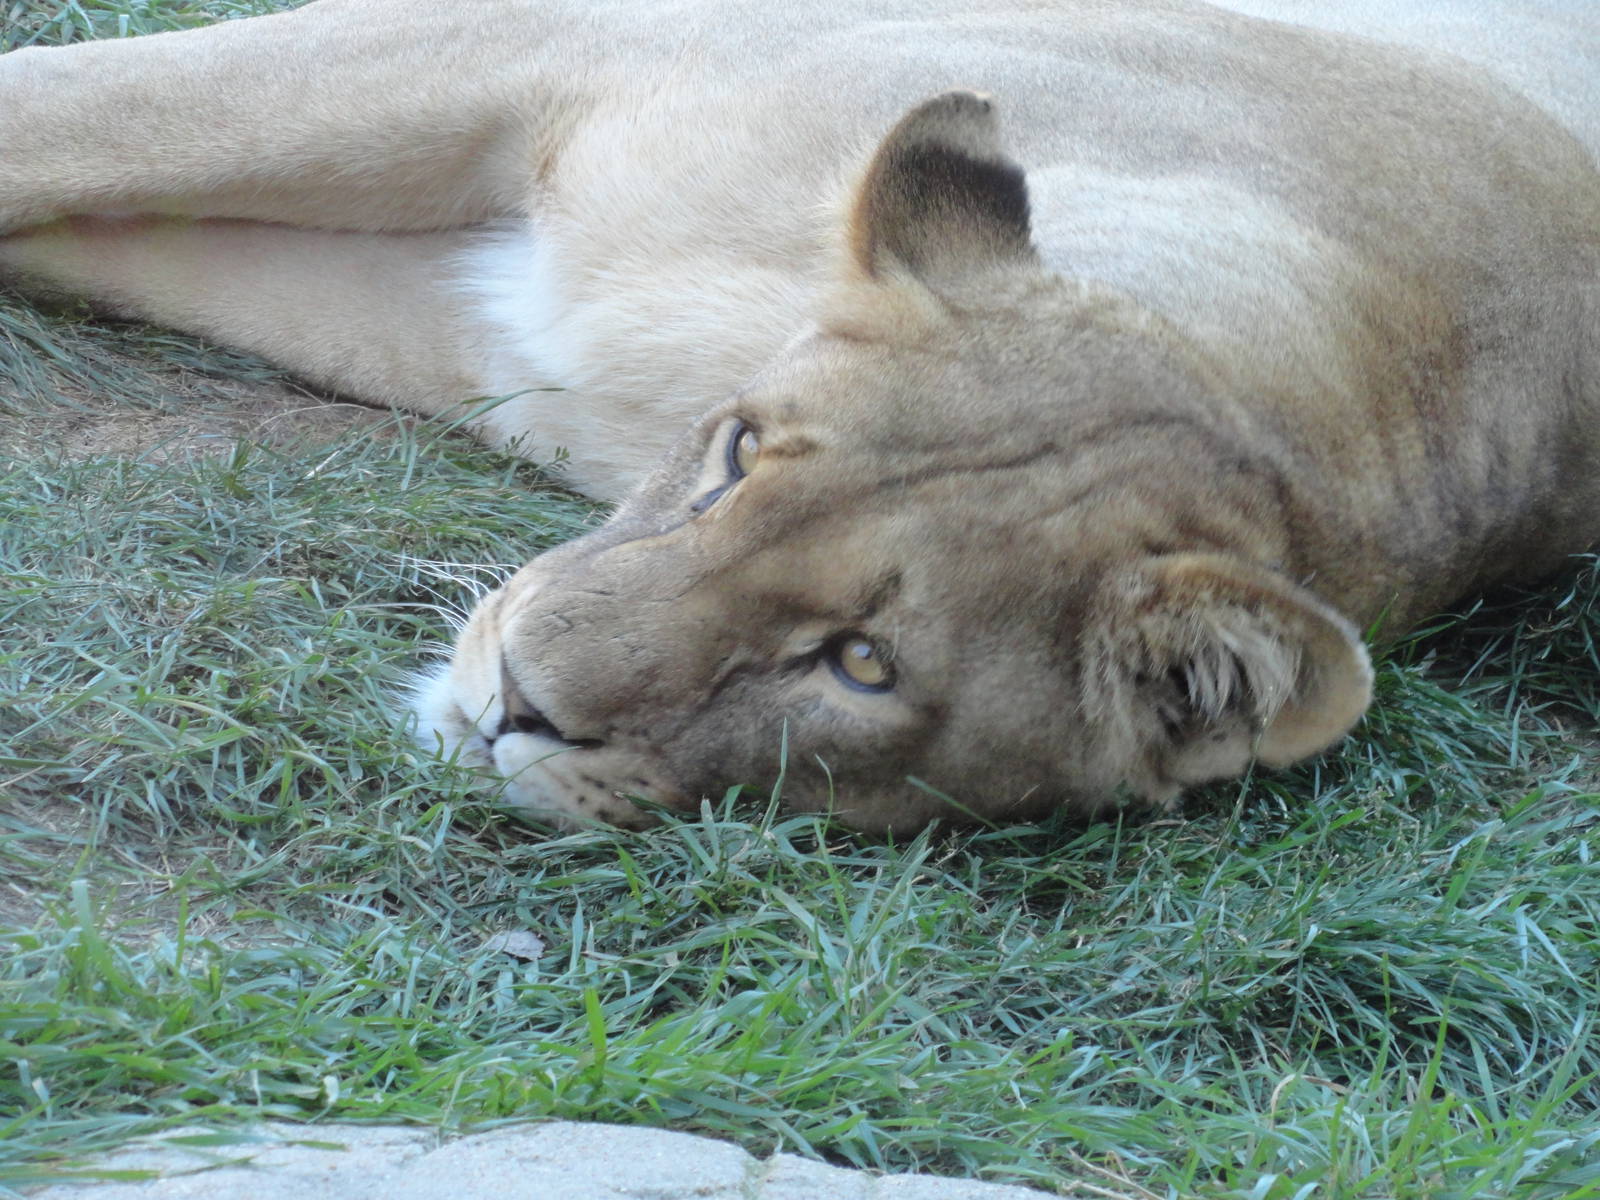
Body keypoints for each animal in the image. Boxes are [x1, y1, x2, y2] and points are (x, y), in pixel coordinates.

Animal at [2, 0, 1596, 832]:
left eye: (860, 667)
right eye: (735, 455)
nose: (513, 698)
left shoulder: (470, 317)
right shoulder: (535, 48)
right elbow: (72, 114)